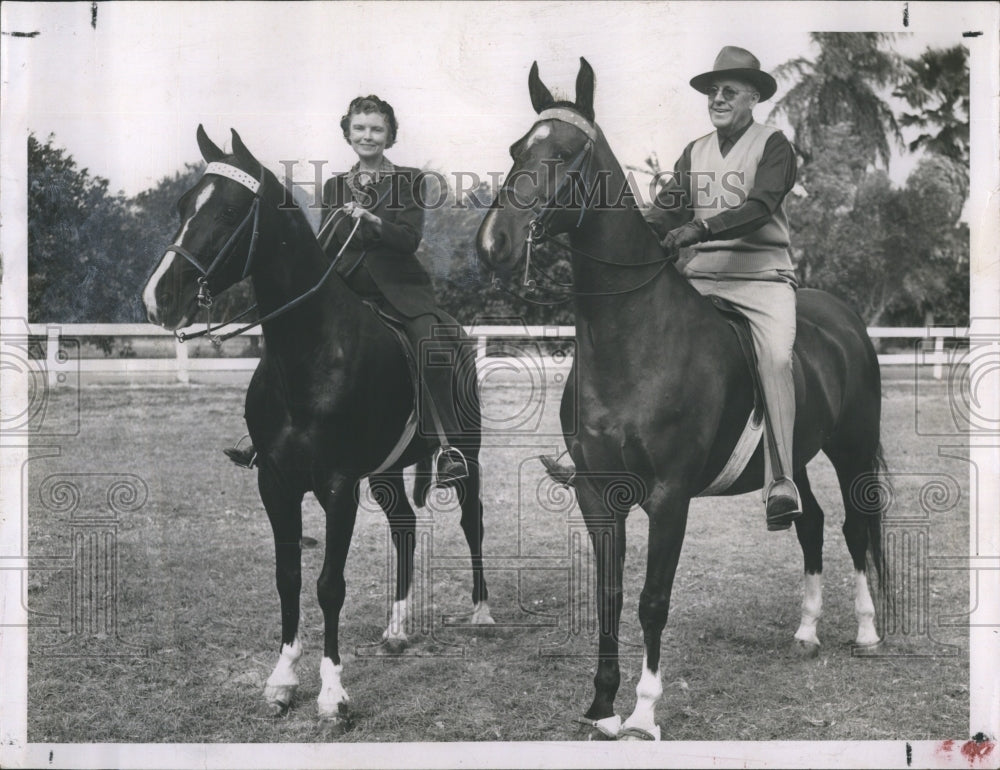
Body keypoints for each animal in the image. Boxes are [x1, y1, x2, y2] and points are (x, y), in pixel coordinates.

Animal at [476, 60, 892, 736]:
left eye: (564, 154)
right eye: (517, 151)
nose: (495, 243)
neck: (634, 341)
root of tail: (843, 319)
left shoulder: (669, 497)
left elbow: (652, 600)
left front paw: (644, 712)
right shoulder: (598, 494)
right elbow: (611, 594)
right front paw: (601, 705)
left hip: (852, 449)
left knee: (856, 527)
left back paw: (866, 633)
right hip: (793, 459)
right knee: (810, 522)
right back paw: (806, 633)